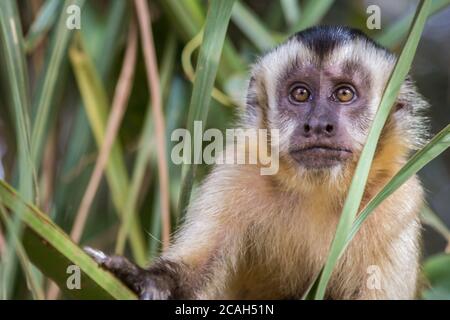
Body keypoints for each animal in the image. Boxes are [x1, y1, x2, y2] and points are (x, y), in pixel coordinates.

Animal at [83, 26, 428, 298]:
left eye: (344, 94)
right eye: (300, 94)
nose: (318, 125)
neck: (317, 191)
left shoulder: (397, 198)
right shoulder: (238, 169)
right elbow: (194, 274)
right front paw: (143, 279)